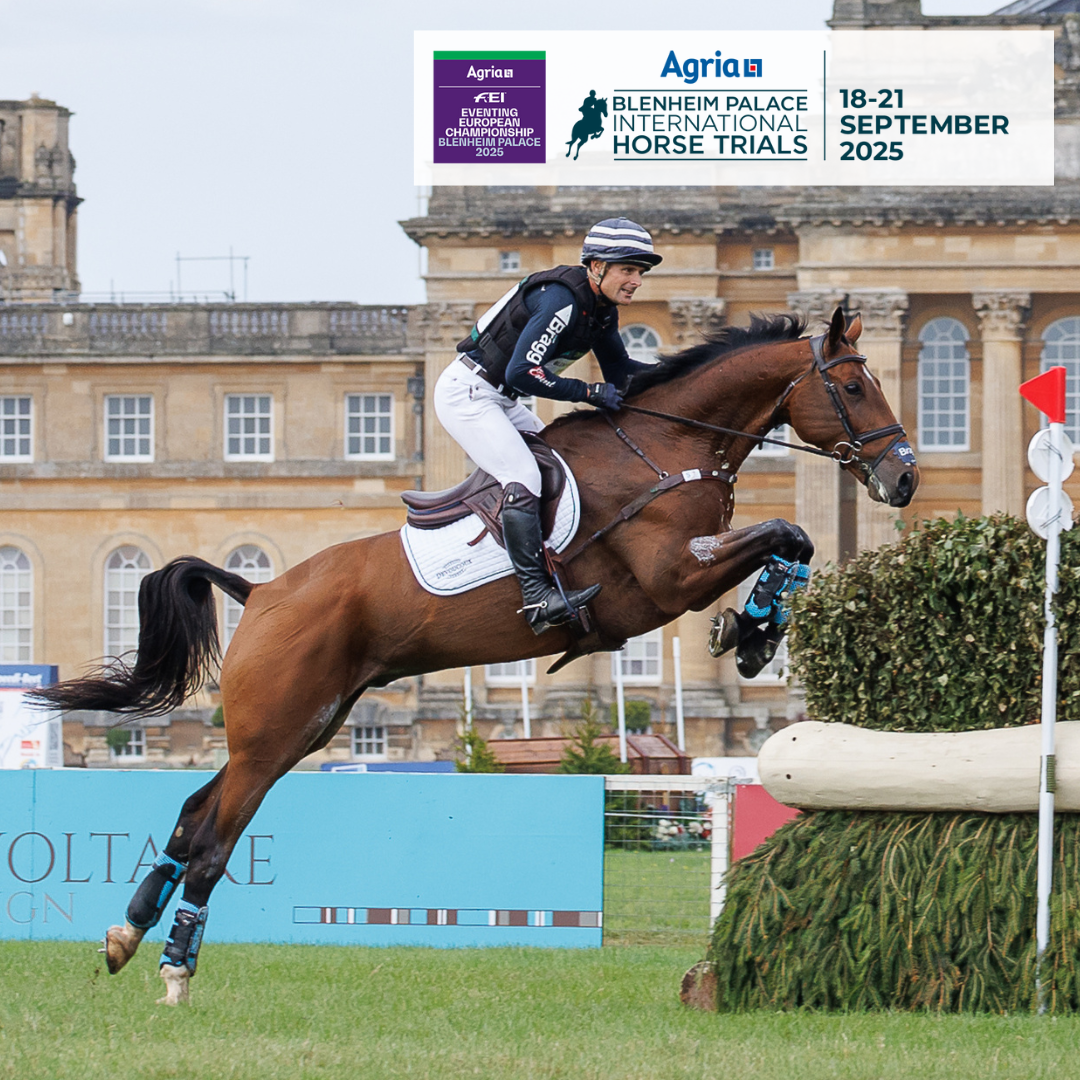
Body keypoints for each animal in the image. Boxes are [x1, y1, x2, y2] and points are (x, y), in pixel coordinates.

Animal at [29, 304, 915, 1002]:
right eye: (855, 387)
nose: (902, 479)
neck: (664, 447)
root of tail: (264, 590)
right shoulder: (670, 580)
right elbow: (786, 530)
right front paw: (752, 627)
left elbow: (792, 538)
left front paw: (758, 632)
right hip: (274, 731)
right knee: (213, 840)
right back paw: (175, 965)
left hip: (303, 729)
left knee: (191, 816)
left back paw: (129, 932)